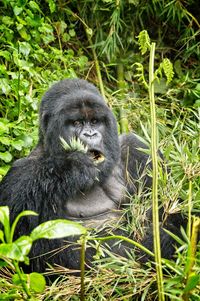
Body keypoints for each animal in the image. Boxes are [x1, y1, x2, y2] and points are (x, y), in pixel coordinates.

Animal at [0, 78, 184, 274]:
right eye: (77, 123)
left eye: (95, 121)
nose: (90, 134)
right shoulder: (20, 175)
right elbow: (29, 243)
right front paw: (73, 167)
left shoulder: (138, 149)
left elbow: (170, 213)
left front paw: (156, 241)